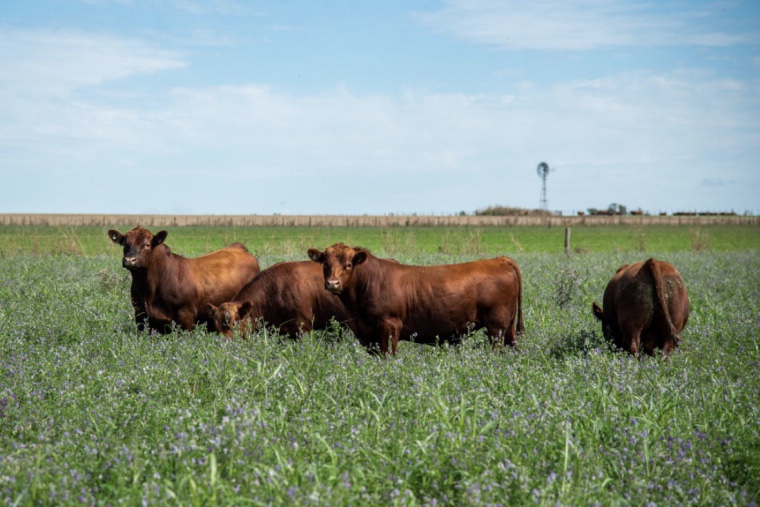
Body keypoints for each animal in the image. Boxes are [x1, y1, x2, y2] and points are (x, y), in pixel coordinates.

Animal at [105, 226, 262, 334]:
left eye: (147, 245)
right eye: (124, 243)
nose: (129, 260)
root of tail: (238, 247)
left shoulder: (186, 318)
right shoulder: (141, 317)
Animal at [308, 243, 524, 358]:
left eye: (348, 265)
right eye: (325, 264)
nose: (332, 283)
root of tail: (499, 260)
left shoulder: (389, 327)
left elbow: (389, 356)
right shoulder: (369, 336)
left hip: (496, 326)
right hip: (507, 327)